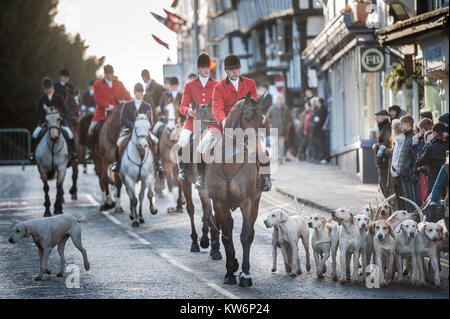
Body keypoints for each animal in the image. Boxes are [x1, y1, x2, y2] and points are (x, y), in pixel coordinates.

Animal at [206, 90, 266, 288]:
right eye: (247, 118)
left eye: (262, 119)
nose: (259, 150)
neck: (230, 163)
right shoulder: (219, 203)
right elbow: (226, 235)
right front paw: (229, 272)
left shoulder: (247, 202)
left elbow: (246, 235)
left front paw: (245, 275)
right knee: (228, 227)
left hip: (256, 201)